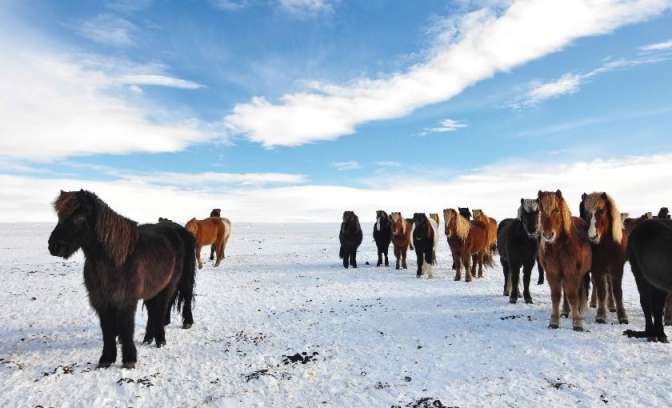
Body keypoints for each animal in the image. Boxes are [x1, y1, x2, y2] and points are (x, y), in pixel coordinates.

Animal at [48, 190, 196, 369]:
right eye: (59, 216)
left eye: (79, 217)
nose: (54, 246)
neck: (116, 260)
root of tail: (176, 230)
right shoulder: (101, 301)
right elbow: (107, 329)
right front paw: (106, 358)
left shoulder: (126, 300)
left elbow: (126, 327)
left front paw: (129, 359)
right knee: (154, 311)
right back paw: (149, 338)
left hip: (173, 283)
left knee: (171, 305)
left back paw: (165, 336)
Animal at [538, 190, 591, 331]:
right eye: (540, 210)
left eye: (556, 210)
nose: (548, 235)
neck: (560, 248)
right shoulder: (553, 273)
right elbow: (556, 296)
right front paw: (554, 321)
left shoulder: (572, 273)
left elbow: (573, 295)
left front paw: (577, 322)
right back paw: (565, 311)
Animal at [581, 192, 629, 324]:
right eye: (586, 212)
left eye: (601, 210)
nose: (592, 236)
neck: (606, 245)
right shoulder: (597, 268)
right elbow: (601, 291)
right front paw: (601, 315)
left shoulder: (617, 268)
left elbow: (617, 291)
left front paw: (622, 316)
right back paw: (593, 302)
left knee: (610, 286)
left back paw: (612, 305)